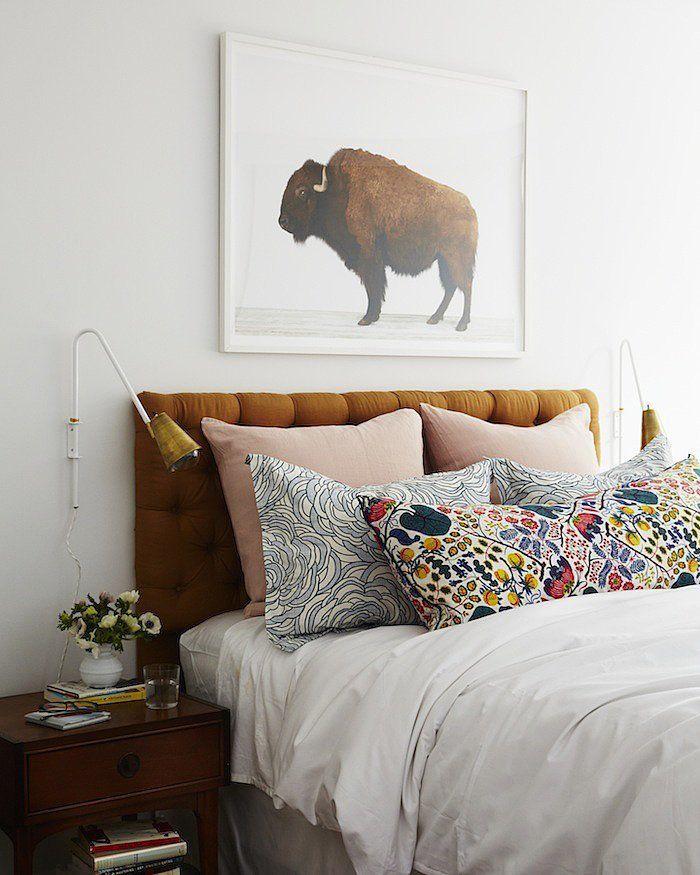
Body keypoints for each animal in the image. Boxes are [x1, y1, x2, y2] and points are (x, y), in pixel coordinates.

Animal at [276, 149, 478, 330]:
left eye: (302, 191)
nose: (282, 221)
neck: (341, 190)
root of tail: (469, 207)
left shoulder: (368, 255)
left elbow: (373, 286)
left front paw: (366, 318)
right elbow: (373, 287)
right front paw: (373, 316)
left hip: (455, 258)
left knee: (465, 285)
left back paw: (461, 324)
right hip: (443, 260)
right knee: (452, 286)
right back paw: (435, 318)